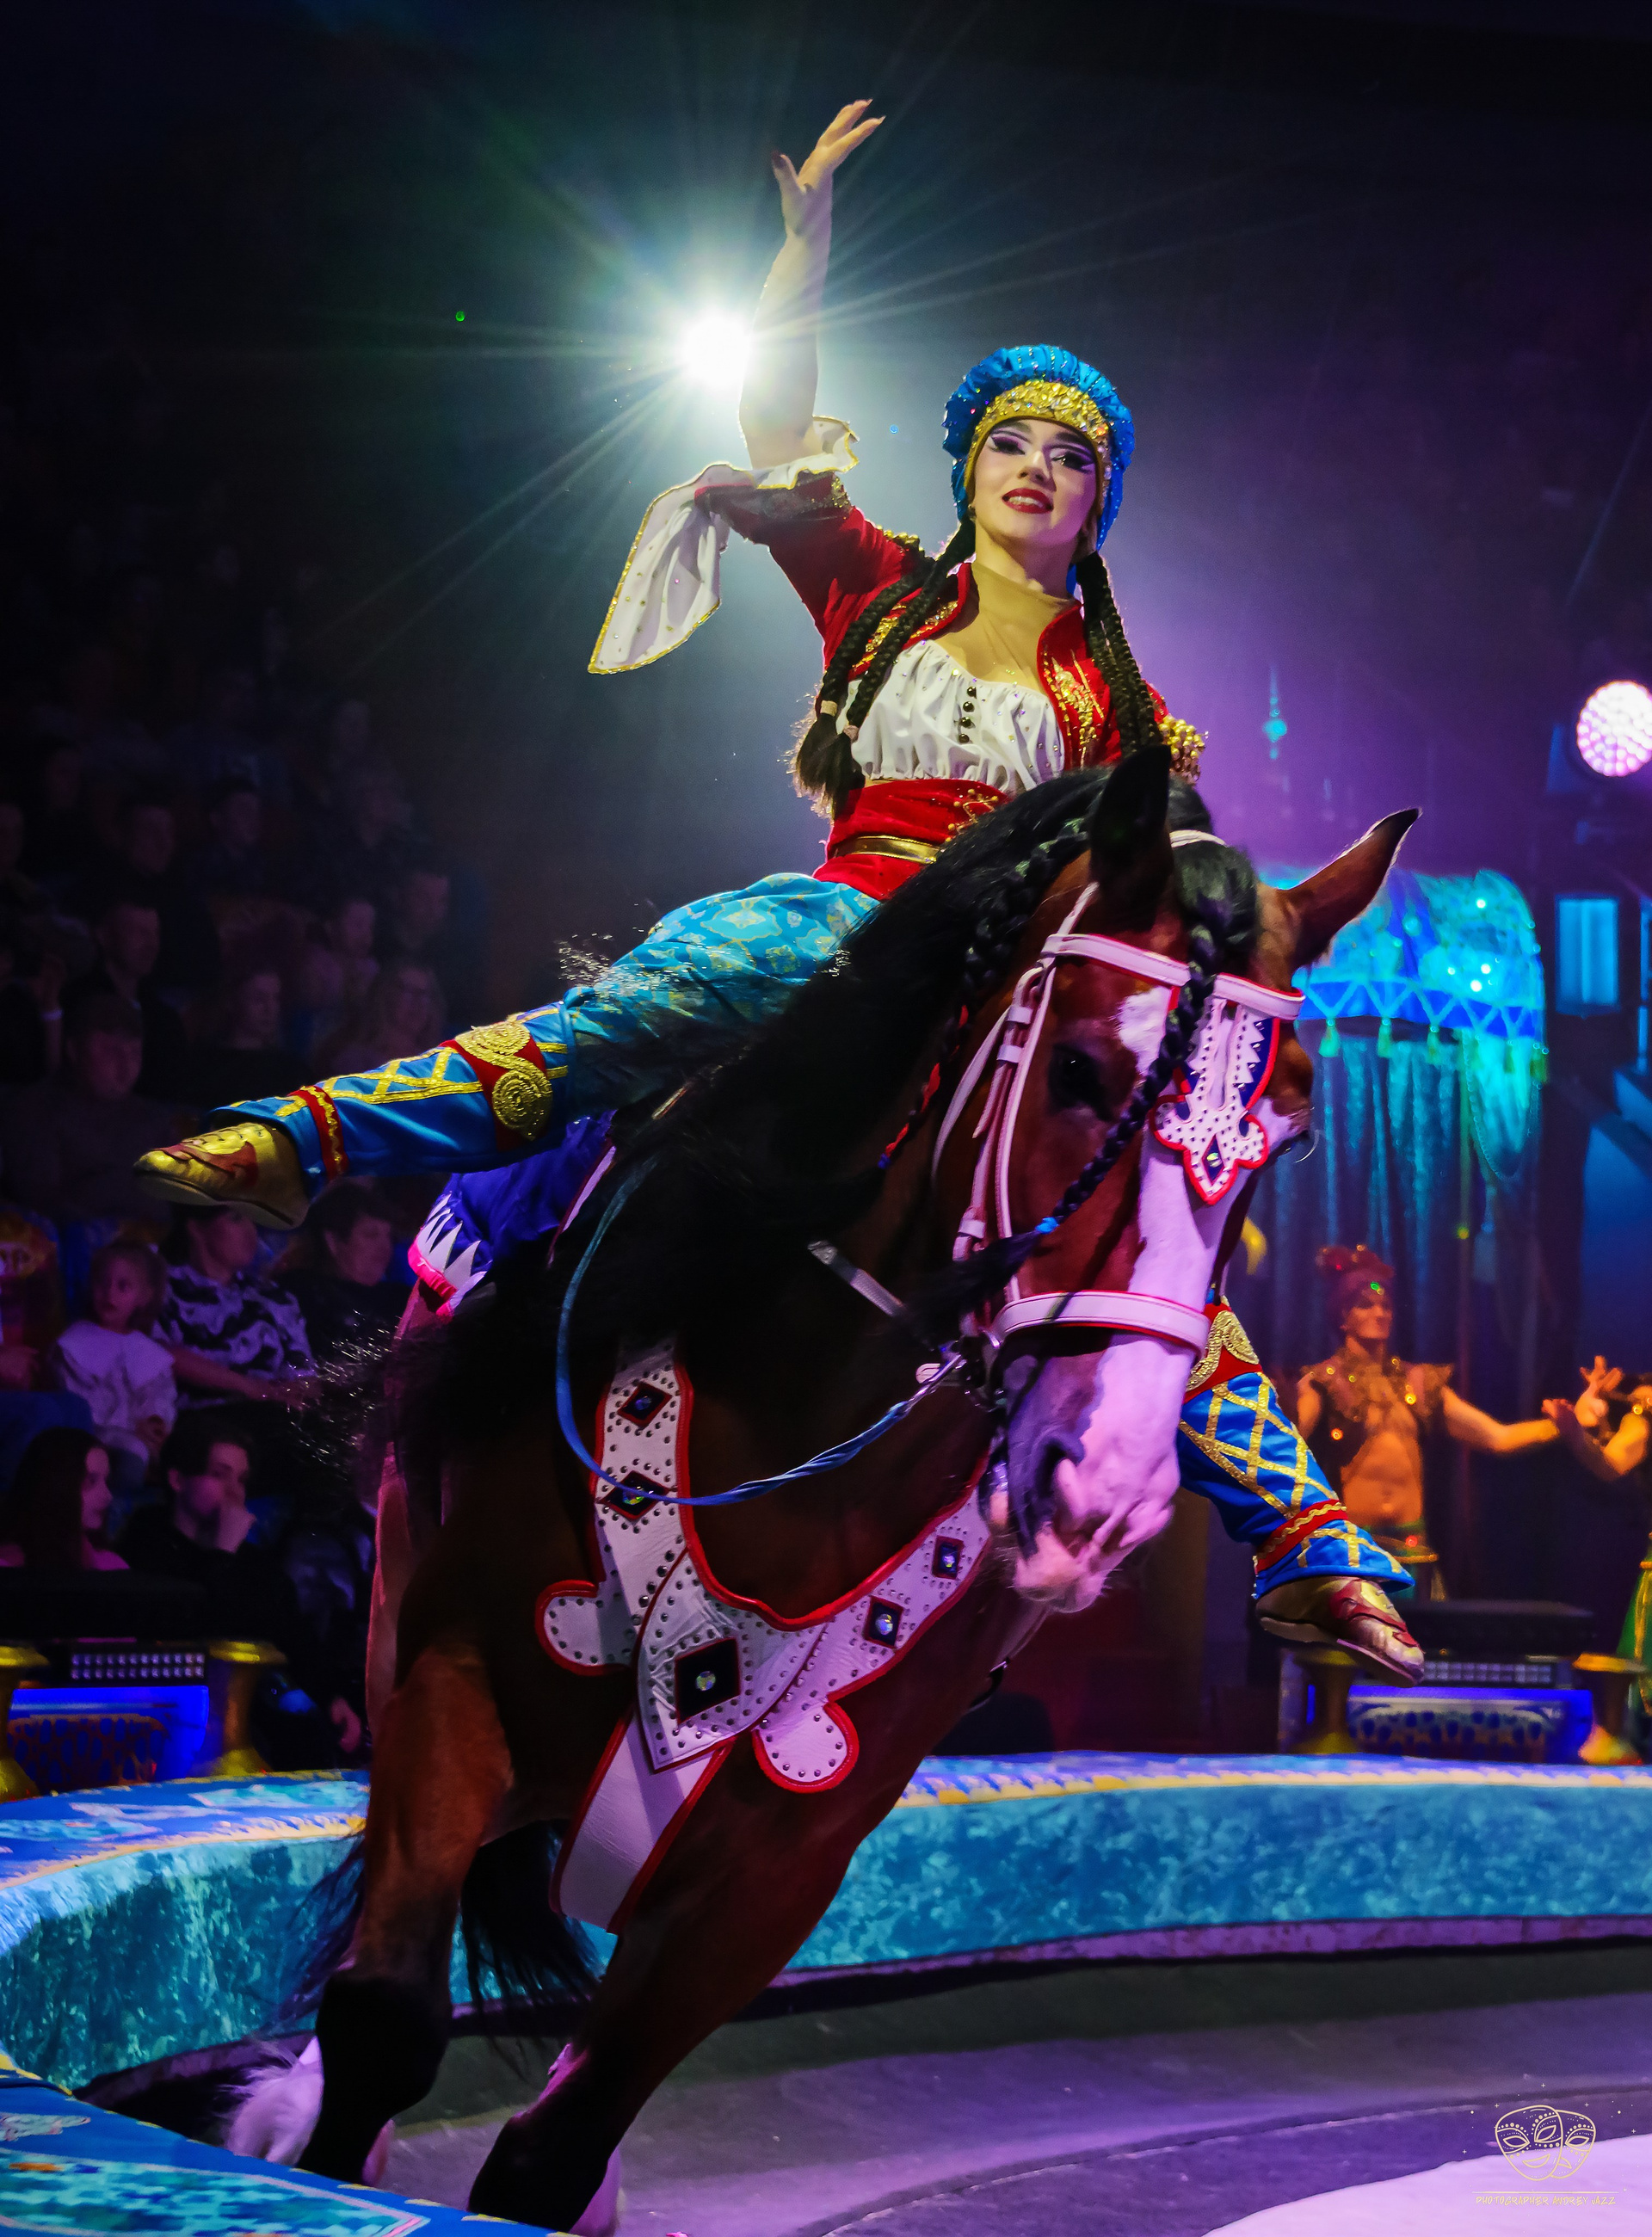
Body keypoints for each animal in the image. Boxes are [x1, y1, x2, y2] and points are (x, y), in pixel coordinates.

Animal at [262, 754, 1409, 2230]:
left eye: (1289, 1128)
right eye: (1081, 1069)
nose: (1103, 1481)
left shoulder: (787, 1855)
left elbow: (555, 2149)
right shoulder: (459, 1677)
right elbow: (385, 2021)